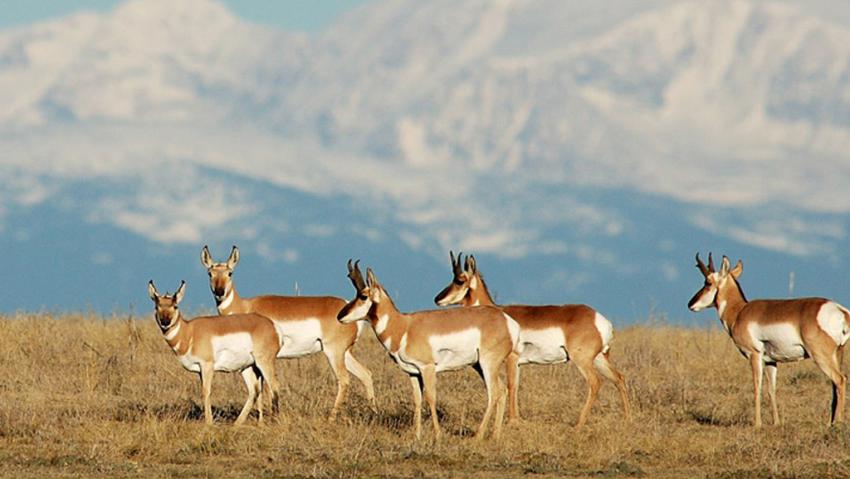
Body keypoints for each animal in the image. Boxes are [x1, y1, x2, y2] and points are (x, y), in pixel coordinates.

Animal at [147, 280, 281, 425]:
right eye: (157, 306)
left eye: (175, 306)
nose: (165, 322)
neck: (189, 332)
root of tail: (272, 325)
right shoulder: (200, 370)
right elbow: (203, 391)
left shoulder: (207, 366)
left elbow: (206, 392)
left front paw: (208, 423)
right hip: (247, 367)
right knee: (254, 391)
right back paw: (237, 423)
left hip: (263, 362)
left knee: (274, 386)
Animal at [200, 245, 375, 421]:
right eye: (210, 273)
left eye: (230, 273)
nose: (219, 292)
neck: (245, 306)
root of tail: (346, 306)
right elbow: (260, 388)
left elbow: (265, 388)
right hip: (345, 354)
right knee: (366, 374)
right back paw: (373, 413)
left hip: (334, 353)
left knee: (344, 380)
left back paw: (331, 418)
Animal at [337, 260, 520, 440]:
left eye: (363, 296)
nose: (340, 316)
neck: (403, 327)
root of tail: (507, 320)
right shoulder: (413, 372)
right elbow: (417, 401)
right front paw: (416, 436)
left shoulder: (427, 368)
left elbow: (431, 398)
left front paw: (437, 435)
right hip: (479, 365)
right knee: (502, 390)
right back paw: (495, 436)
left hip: (487, 364)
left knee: (494, 393)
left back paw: (478, 436)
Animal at [433, 252, 631, 428]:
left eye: (459, 280)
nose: (437, 299)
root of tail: (599, 319)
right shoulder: (518, 364)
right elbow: (516, 386)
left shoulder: (512, 359)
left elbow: (511, 386)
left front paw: (512, 421)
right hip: (598, 359)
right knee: (619, 378)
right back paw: (627, 420)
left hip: (582, 360)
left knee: (595, 383)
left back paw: (578, 425)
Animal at [689, 252, 850, 428]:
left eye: (708, 282)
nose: (690, 304)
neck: (739, 312)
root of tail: (841, 311)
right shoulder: (771, 361)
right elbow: (771, 389)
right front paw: (776, 423)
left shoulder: (754, 355)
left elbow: (756, 387)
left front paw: (757, 424)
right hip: (837, 355)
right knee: (835, 385)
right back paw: (831, 423)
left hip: (821, 356)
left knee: (840, 379)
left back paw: (838, 423)